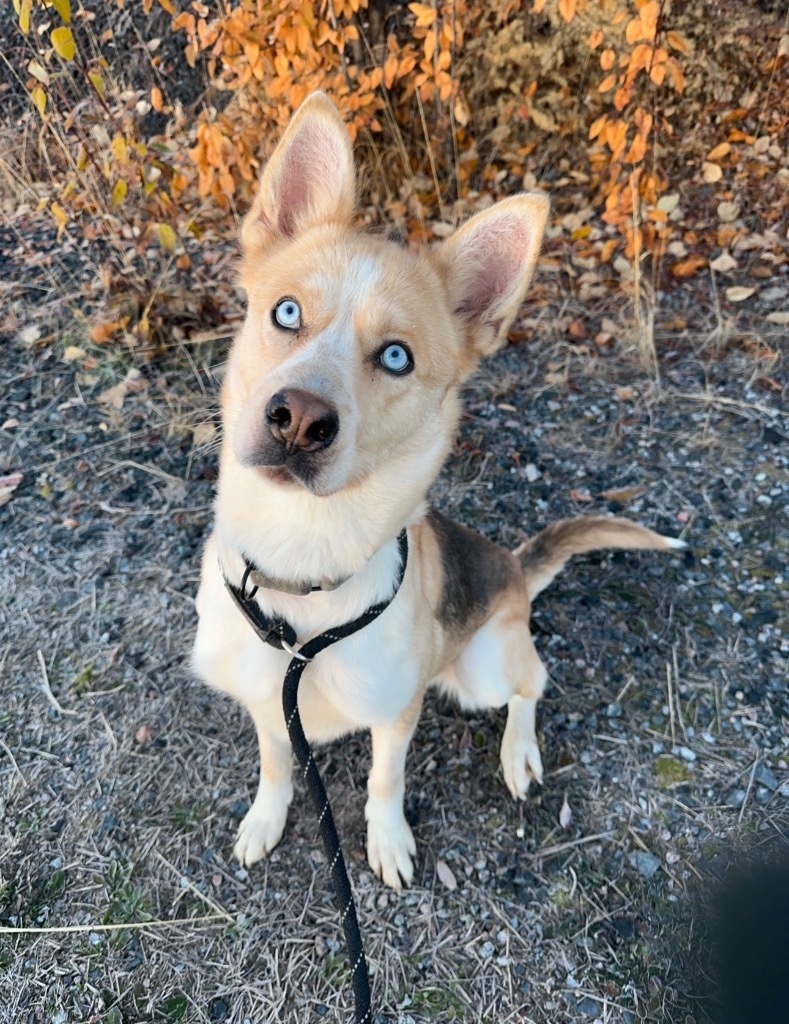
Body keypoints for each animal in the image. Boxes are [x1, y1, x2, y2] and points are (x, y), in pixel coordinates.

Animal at [192, 92, 683, 892]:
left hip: (481, 668)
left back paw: (518, 753)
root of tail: (512, 567)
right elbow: (275, 764)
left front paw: (387, 842)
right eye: (286, 312)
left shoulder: (398, 713)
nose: (298, 421)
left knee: (532, 683)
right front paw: (266, 819)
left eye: (396, 356)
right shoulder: (267, 703)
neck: (302, 564)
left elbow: (382, 783)